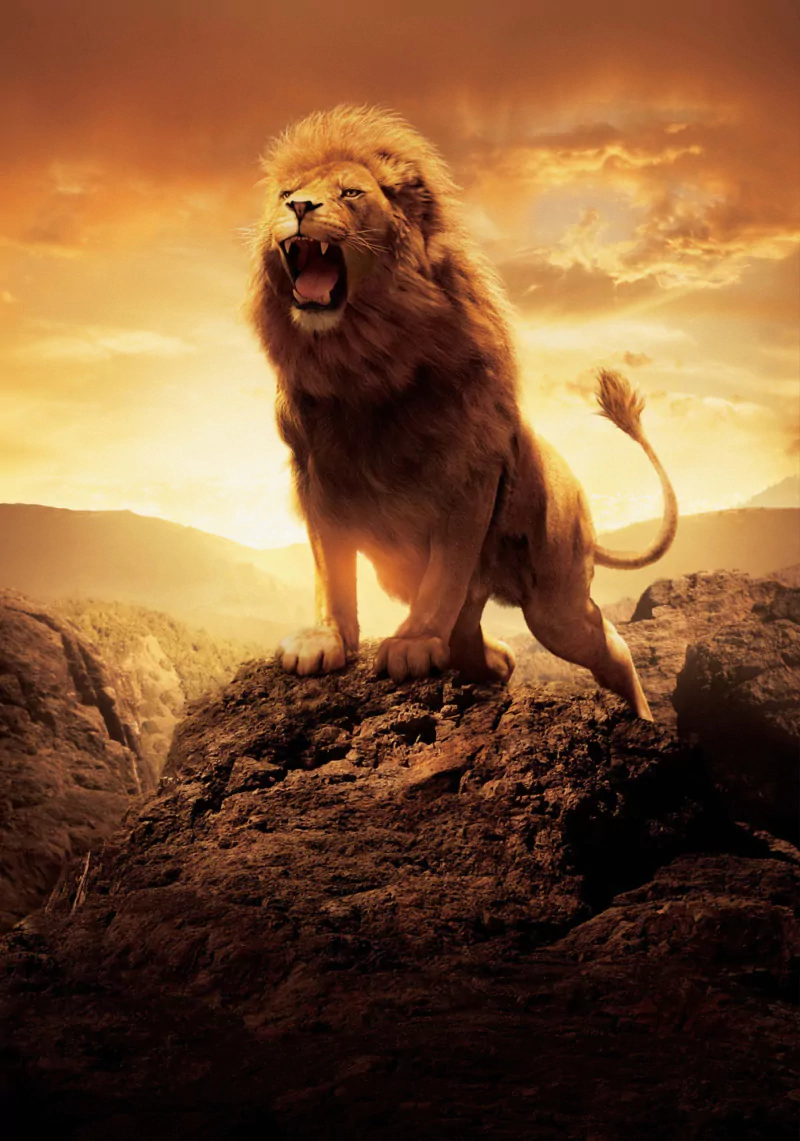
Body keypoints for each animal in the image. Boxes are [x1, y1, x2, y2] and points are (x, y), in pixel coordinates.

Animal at [247, 105, 677, 720]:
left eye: (350, 193)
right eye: (286, 193)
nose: (300, 208)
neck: (361, 363)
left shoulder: (468, 478)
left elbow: (445, 575)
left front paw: (412, 643)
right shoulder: (317, 476)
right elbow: (332, 569)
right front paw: (325, 639)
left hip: (557, 600)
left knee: (607, 644)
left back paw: (642, 719)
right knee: (479, 634)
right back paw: (494, 661)